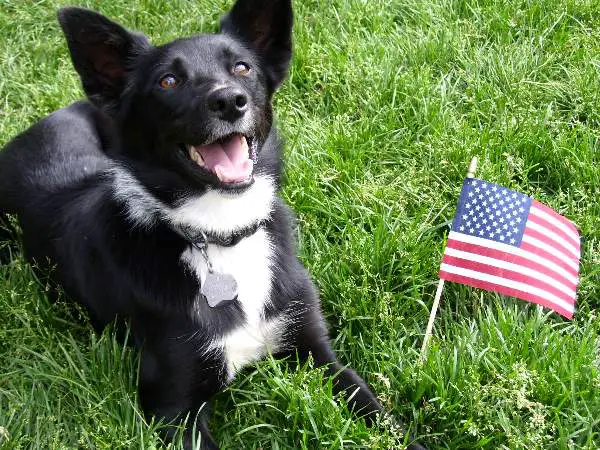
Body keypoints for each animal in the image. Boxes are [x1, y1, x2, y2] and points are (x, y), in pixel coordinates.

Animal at [0, 1, 422, 448]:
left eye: (241, 67)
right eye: (168, 80)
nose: (229, 101)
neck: (221, 234)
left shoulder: (317, 352)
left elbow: (380, 417)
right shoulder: (173, 408)